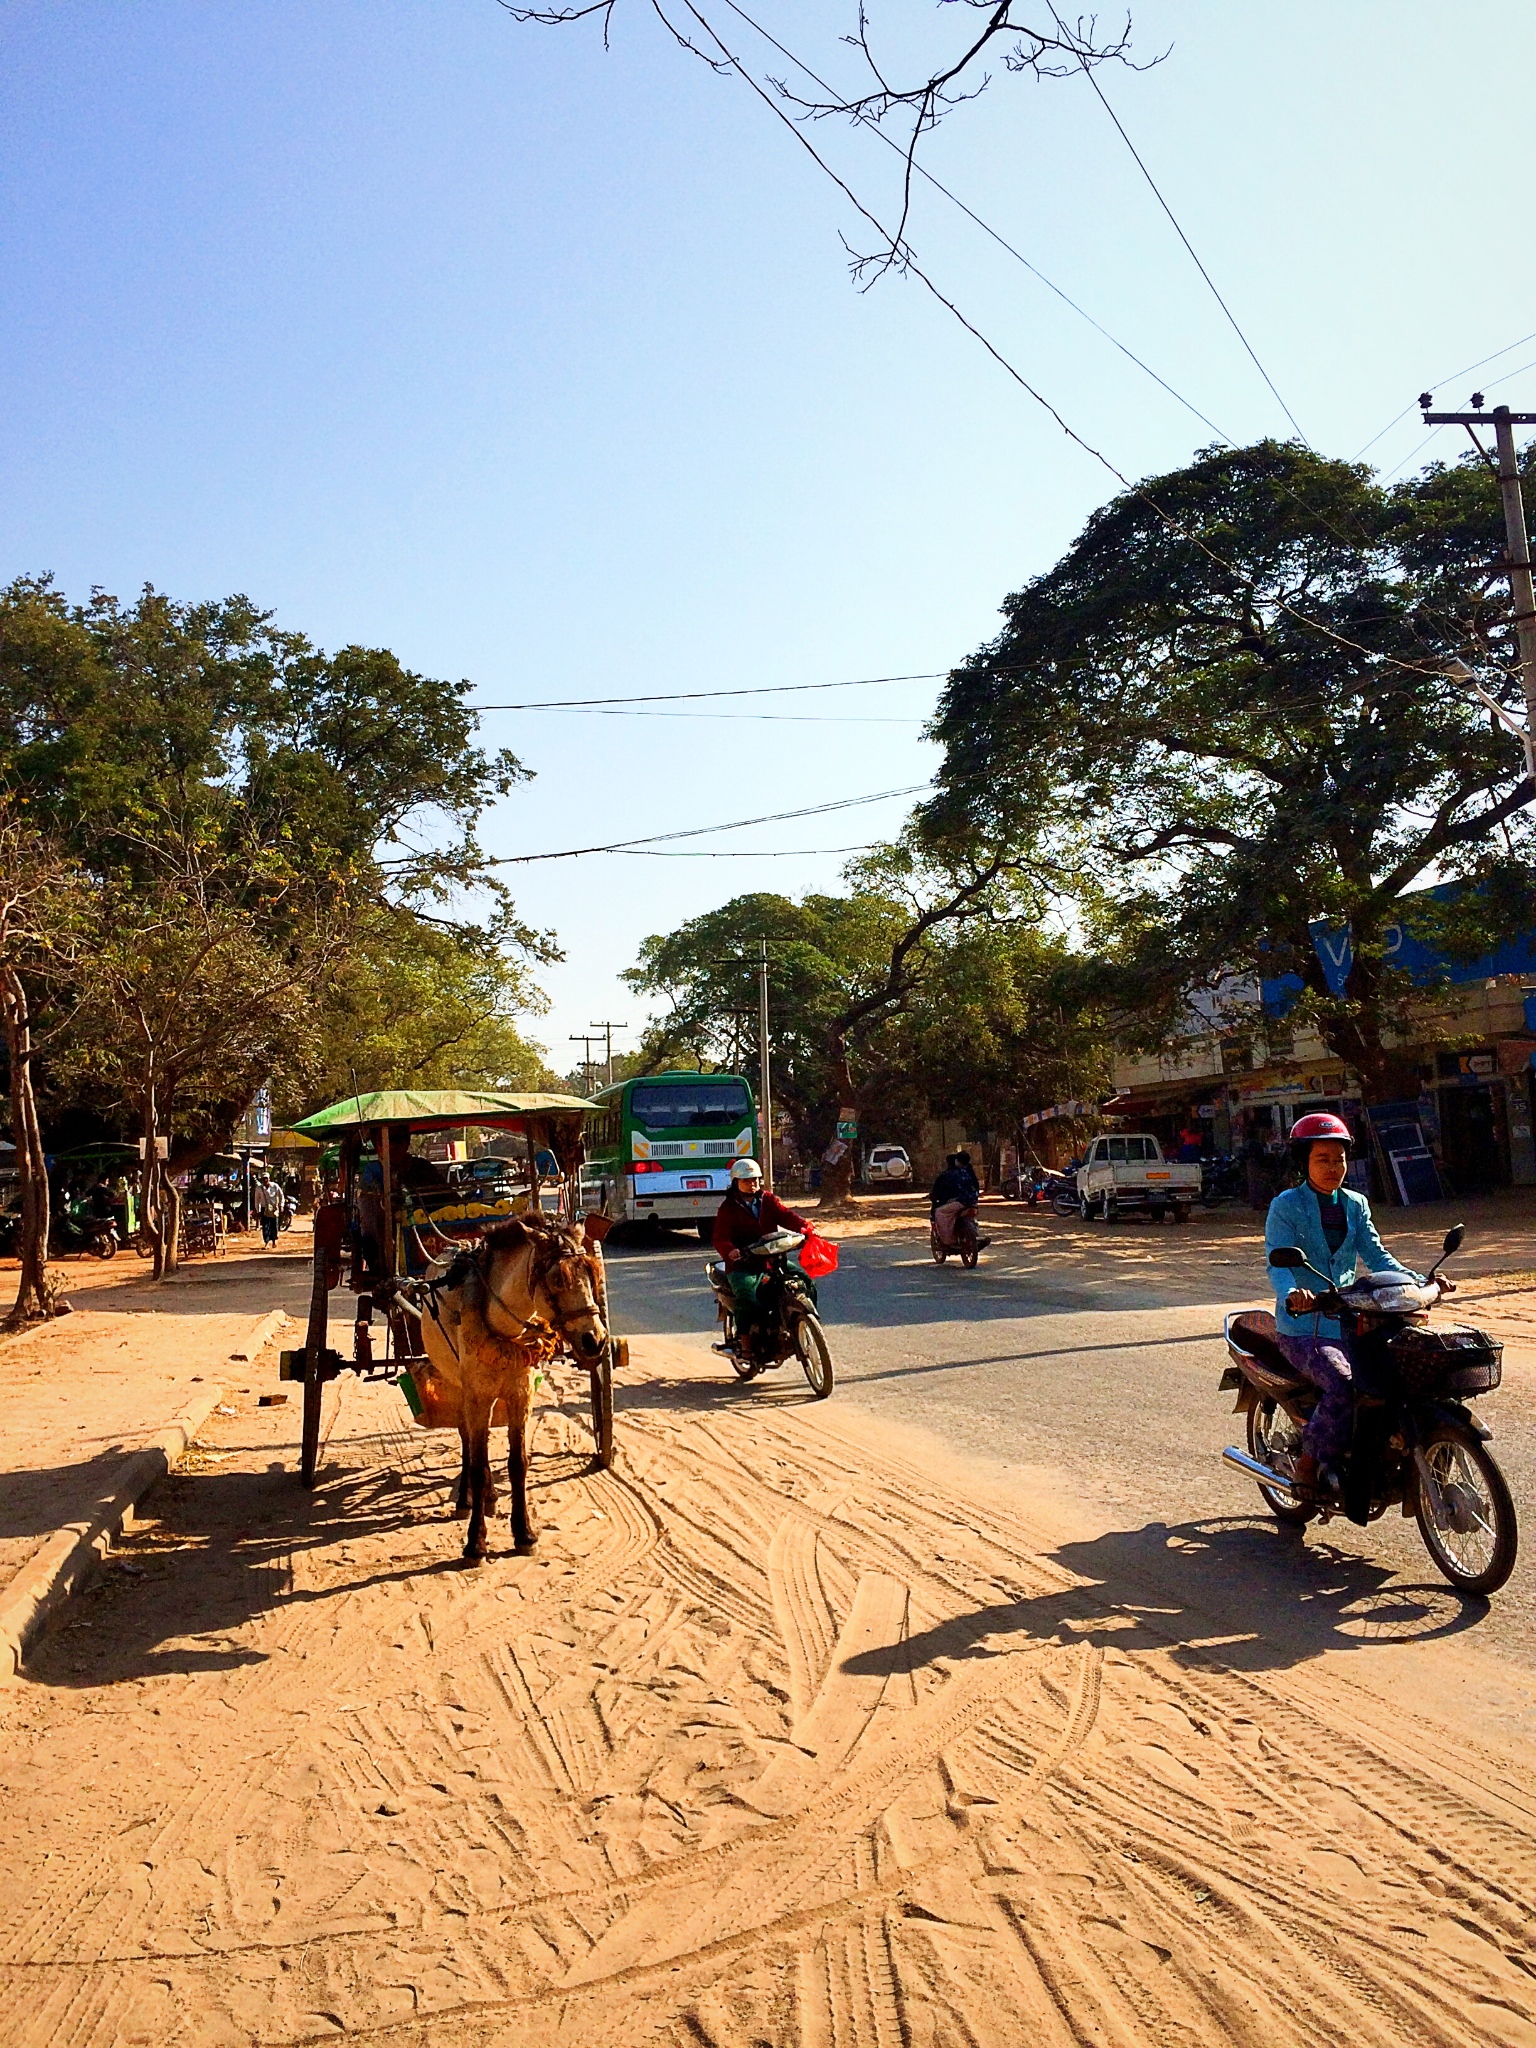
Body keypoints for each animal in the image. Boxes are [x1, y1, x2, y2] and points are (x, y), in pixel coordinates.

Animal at [403, 1212, 606, 1564]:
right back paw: (468, 1499)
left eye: (591, 1273)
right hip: (459, 1386)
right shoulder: (477, 1396)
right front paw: (475, 1542)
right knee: (468, 1440)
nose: (595, 1339)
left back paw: (488, 1497)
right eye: (557, 1279)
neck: (503, 1328)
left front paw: (524, 1533)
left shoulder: (520, 1395)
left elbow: (518, 1463)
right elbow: (478, 1462)